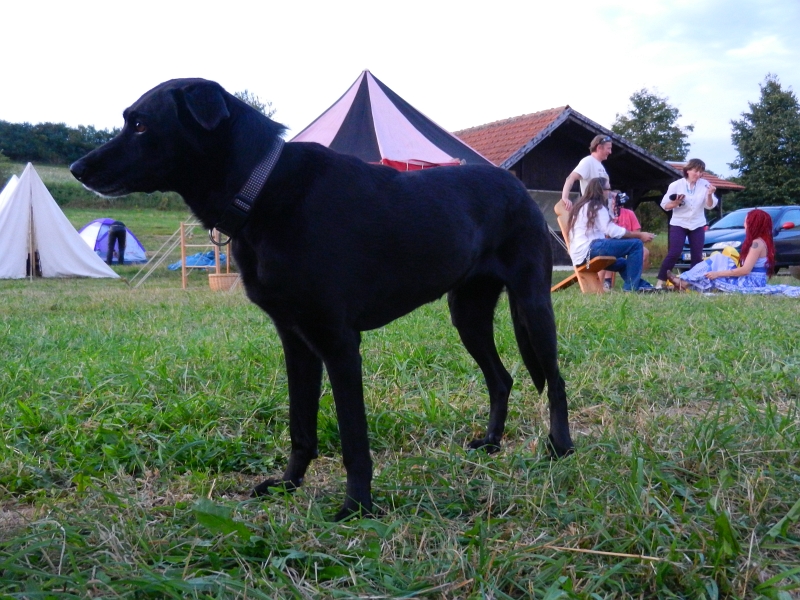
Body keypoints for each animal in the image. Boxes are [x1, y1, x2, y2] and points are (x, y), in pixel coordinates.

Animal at [67, 78, 568, 520]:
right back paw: (492, 443)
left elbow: (353, 438)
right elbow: (301, 426)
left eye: (140, 124)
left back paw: (559, 448)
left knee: (555, 379)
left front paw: (357, 507)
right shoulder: (295, 340)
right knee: (501, 378)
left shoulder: (339, 343)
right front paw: (288, 484)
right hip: (467, 313)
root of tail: (519, 189)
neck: (262, 188)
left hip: (532, 305)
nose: (77, 170)